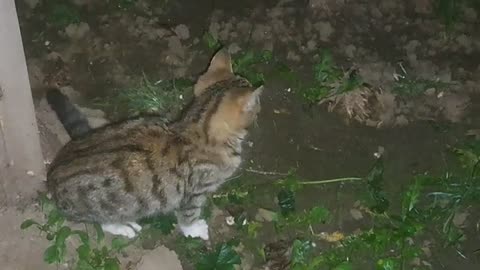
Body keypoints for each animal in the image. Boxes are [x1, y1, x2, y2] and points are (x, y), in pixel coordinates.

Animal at [45, 49, 262, 239]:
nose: (260, 107)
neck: (199, 128)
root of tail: (52, 174)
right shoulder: (195, 193)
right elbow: (189, 215)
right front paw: (194, 230)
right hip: (109, 208)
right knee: (102, 221)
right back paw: (124, 226)